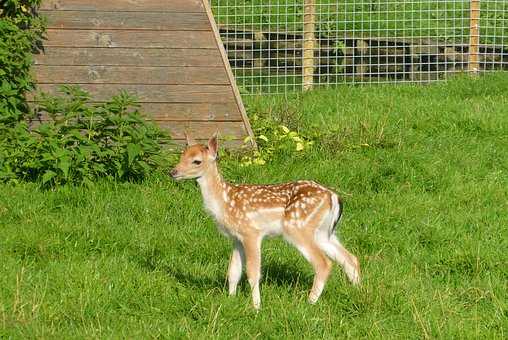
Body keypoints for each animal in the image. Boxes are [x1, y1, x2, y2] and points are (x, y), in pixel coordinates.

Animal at [172, 133, 362, 310]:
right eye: (182, 155)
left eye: (196, 161)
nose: (172, 172)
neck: (224, 201)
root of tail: (333, 197)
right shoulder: (236, 238)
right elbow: (233, 271)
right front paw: (231, 300)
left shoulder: (251, 232)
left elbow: (252, 273)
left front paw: (256, 307)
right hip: (323, 232)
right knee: (350, 258)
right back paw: (358, 293)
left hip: (298, 227)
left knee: (323, 263)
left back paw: (309, 302)